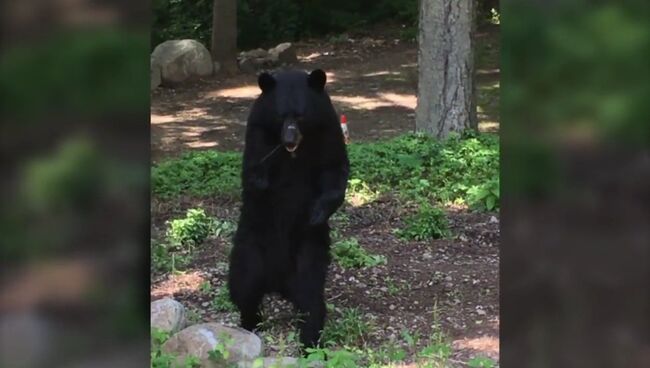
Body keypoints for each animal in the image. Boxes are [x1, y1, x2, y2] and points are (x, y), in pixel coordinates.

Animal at [228, 68, 350, 348]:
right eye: (281, 115)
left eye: (301, 115)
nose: (289, 138)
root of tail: (278, 283)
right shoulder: (258, 131)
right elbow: (253, 171)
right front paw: (263, 177)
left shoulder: (328, 130)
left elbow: (334, 169)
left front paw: (316, 212)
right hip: (251, 245)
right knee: (244, 285)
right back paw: (250, 323)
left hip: (308, 252)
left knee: (311, 297)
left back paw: (309, 340)